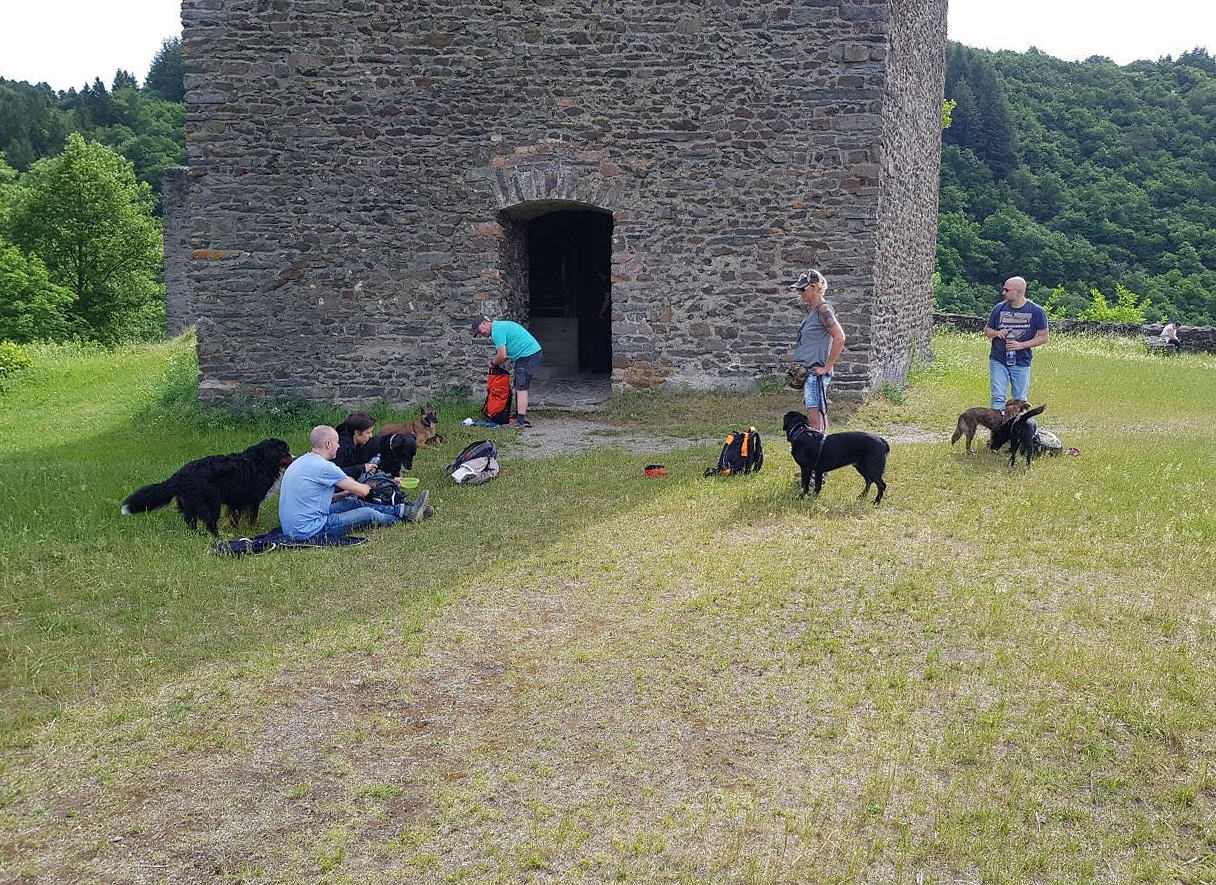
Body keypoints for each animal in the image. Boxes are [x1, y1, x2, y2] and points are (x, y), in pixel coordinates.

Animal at [121, 438, 294, 535]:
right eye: (285, 451)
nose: (294, 457)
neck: (261, 460)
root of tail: (179, 476)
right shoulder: (252, 500)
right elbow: (252, 518)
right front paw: (253, 531)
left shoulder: (236, 501)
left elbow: (234, 518)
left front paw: (236, 529)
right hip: (211, 503)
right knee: (211, 524)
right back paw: (218, 537)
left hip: (190, 506)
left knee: (191, 523)